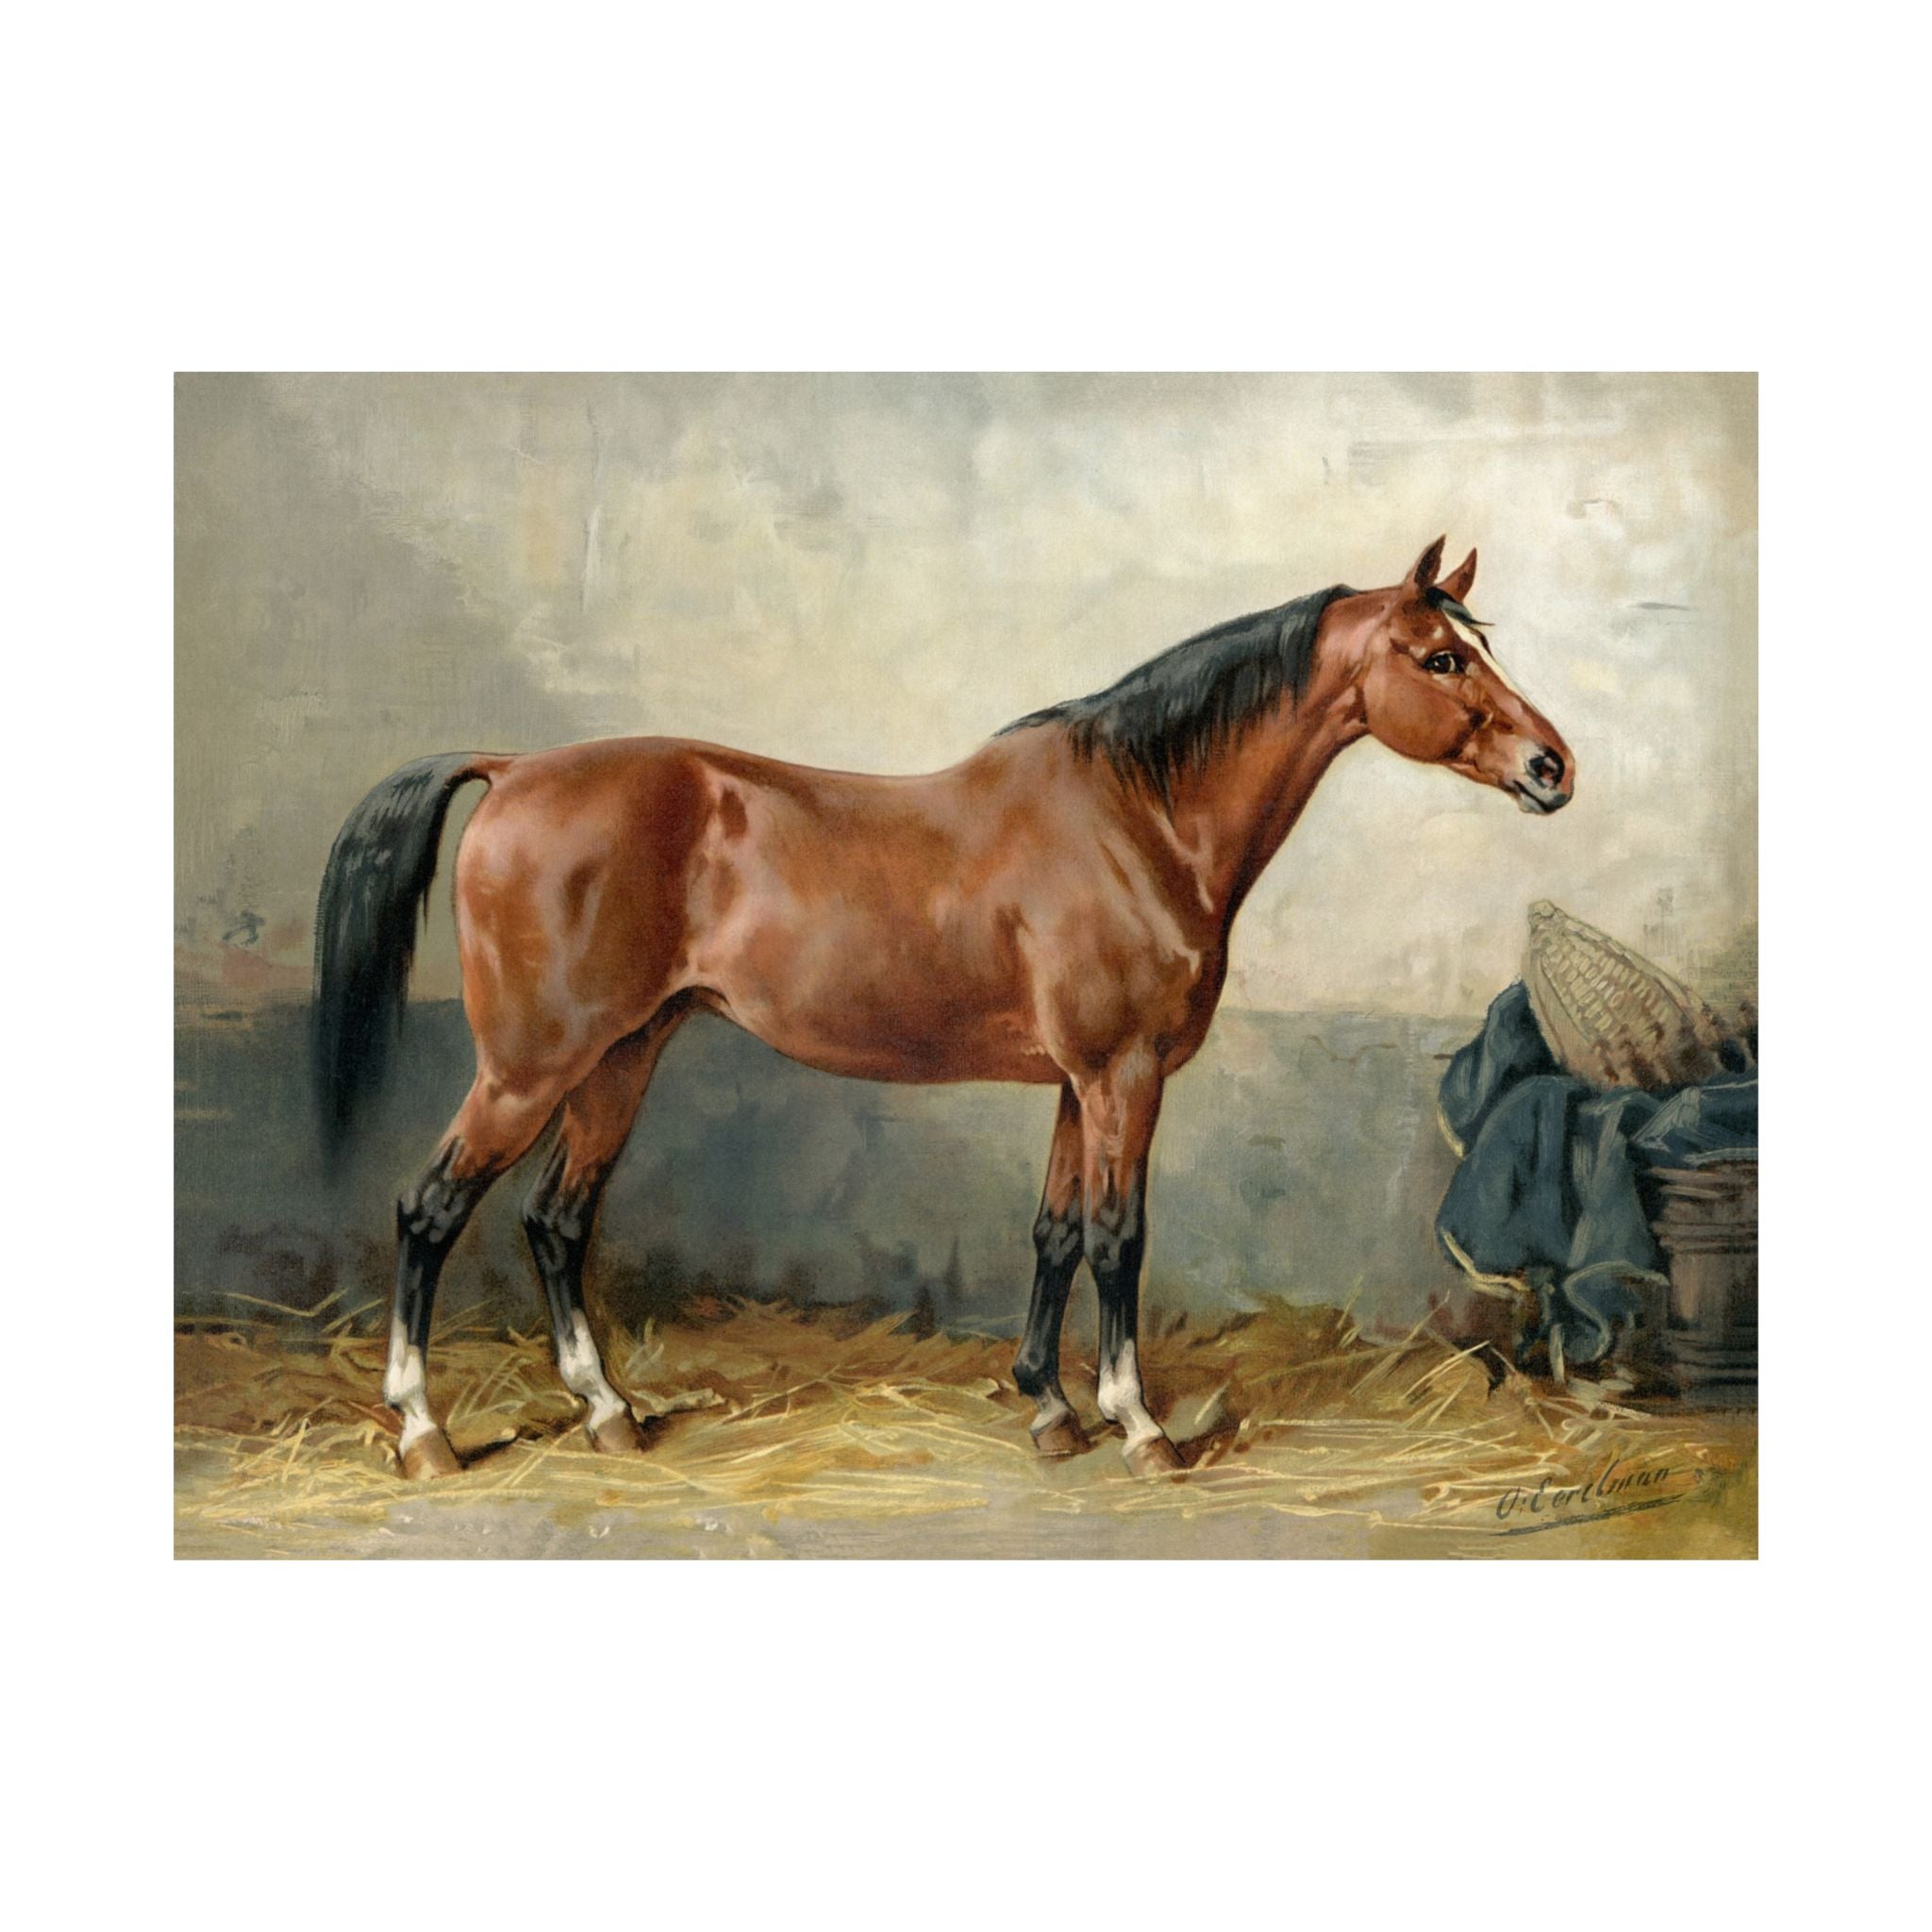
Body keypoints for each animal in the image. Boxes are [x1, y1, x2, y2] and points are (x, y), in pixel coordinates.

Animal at [313, 536, 1573, 1480]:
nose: (1551, 766)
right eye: (1439, 657)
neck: (1139, 816)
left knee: (556, 1219)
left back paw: (608, 1412)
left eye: (1474, 648)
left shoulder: (1076, 1081)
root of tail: (513, 768)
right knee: (431, 1209)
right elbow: (1117, 1237)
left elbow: (1054, 1230)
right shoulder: (1122, 1074)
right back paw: (424, 1430)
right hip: (530, 1065)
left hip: (622, 1055)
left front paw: (1051, 1409)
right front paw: (1138, 1424)